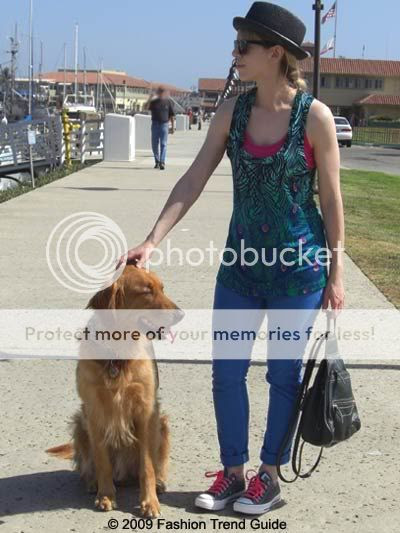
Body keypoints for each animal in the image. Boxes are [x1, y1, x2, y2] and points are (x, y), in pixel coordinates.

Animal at [46, 265, 183, 517]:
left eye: (162, 288)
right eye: (146, 291)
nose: (181, 315)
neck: (118, 354)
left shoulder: (146, 409)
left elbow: (147, 466)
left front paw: (149, 502)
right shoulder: (94, 410)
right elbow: (102, 461)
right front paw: (106, 495)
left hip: (162, 422)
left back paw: (159, 483)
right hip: (79, 422)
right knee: (87, 465)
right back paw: (92, 483)